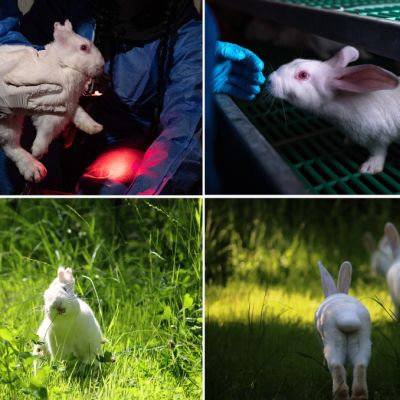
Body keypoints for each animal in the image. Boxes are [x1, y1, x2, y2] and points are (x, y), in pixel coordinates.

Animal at [0, 18, 104, 181]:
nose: (102, 66)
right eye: (83, 47)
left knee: (11, 146)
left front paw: (95, 127)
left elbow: (81, 115)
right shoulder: (53, 112)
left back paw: (33, 169)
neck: (64, 65)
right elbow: (46, 132)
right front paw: (38, 151)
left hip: (10, 121)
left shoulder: (68, 107)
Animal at [266, 45, 400, 173]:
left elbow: (378, 152)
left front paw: (369, 168)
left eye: (303, 75)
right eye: (296, 60)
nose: (269, 80)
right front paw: (348, 141)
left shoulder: (379, 137)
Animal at [316, 262, 372, 400]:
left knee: (336, 366)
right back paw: (359, 396)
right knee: (360, 365)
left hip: (333, 344)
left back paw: (340, 396)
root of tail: (347, 317)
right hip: (362, 343)